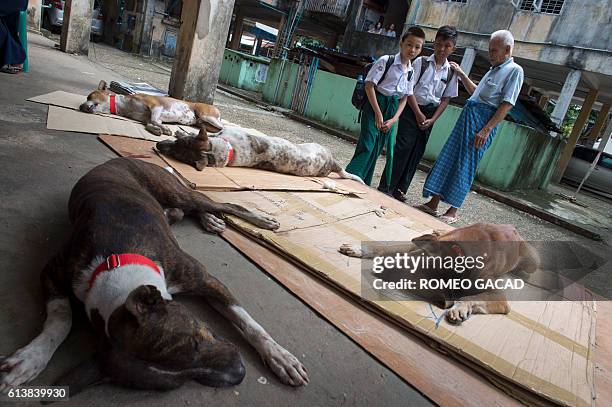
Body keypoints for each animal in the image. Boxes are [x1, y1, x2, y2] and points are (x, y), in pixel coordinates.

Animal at [80, 81, 224, 137]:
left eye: (89, 96)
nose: (81, 106)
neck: (124, 106)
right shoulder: (148, 118)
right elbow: (150, 124)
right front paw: (157, 130)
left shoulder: (156, 107)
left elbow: (154, 120)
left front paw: (165, 129)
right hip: (203, 122)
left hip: (206, 115)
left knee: (226, 128)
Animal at [340, 223, 540, 326]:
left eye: (406, 277)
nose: (378, 269)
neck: (458, 253)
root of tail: (513, 228)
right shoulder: (412, 247)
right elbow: (383, 247)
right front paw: (359, 248)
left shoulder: (498, 296)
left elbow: (469, 298)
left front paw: (459, 308)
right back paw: (439, 229)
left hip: (533, 262)